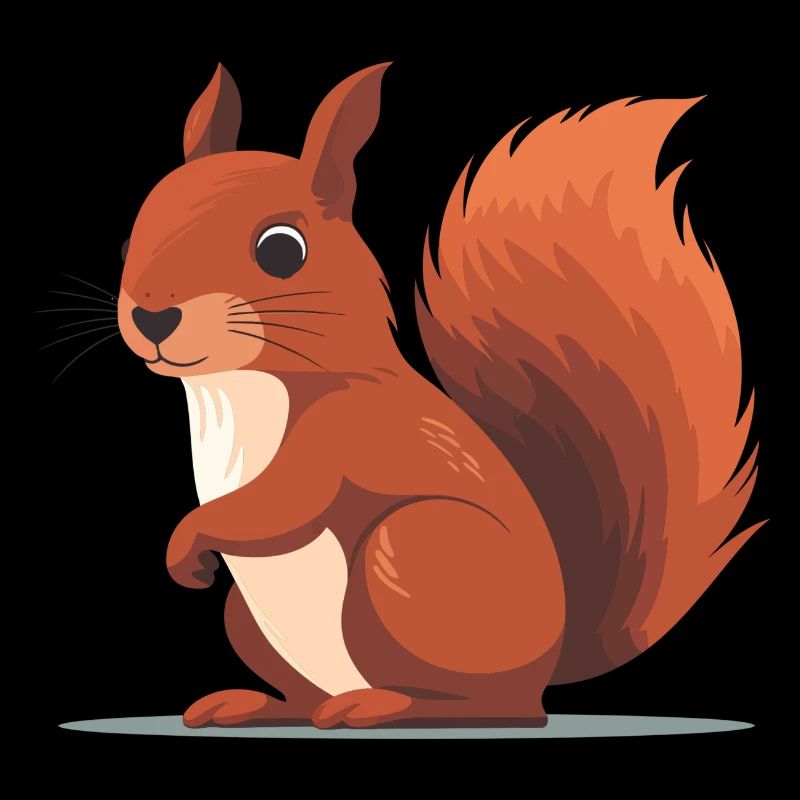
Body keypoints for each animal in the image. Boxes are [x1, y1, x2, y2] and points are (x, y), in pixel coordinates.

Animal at [117, 63, 762, 729]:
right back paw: (258, 705)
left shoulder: (347, 429)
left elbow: (280, 505)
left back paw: (379, 707)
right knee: (309, 696)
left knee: (492, 707)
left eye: (281, 249)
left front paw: (187, 543)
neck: (237, 387)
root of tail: (547, 669)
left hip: (410, 554)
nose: (152, 317)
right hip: (248, 616)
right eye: (134, 233)